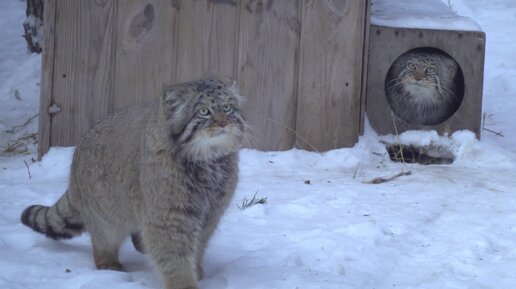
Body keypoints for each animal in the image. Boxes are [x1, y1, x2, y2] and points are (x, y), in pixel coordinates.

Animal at [20, 77, 246, 288]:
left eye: (228, 107)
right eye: (204, 112)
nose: (224, 123)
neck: (209, 162)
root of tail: (74, 166)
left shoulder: (210, 215)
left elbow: (198, 246)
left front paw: (196, 271)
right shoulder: (168, 217)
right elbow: (174, 257)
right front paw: (184, 284)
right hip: (106, 215)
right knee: (103, 240)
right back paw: (109, 263)